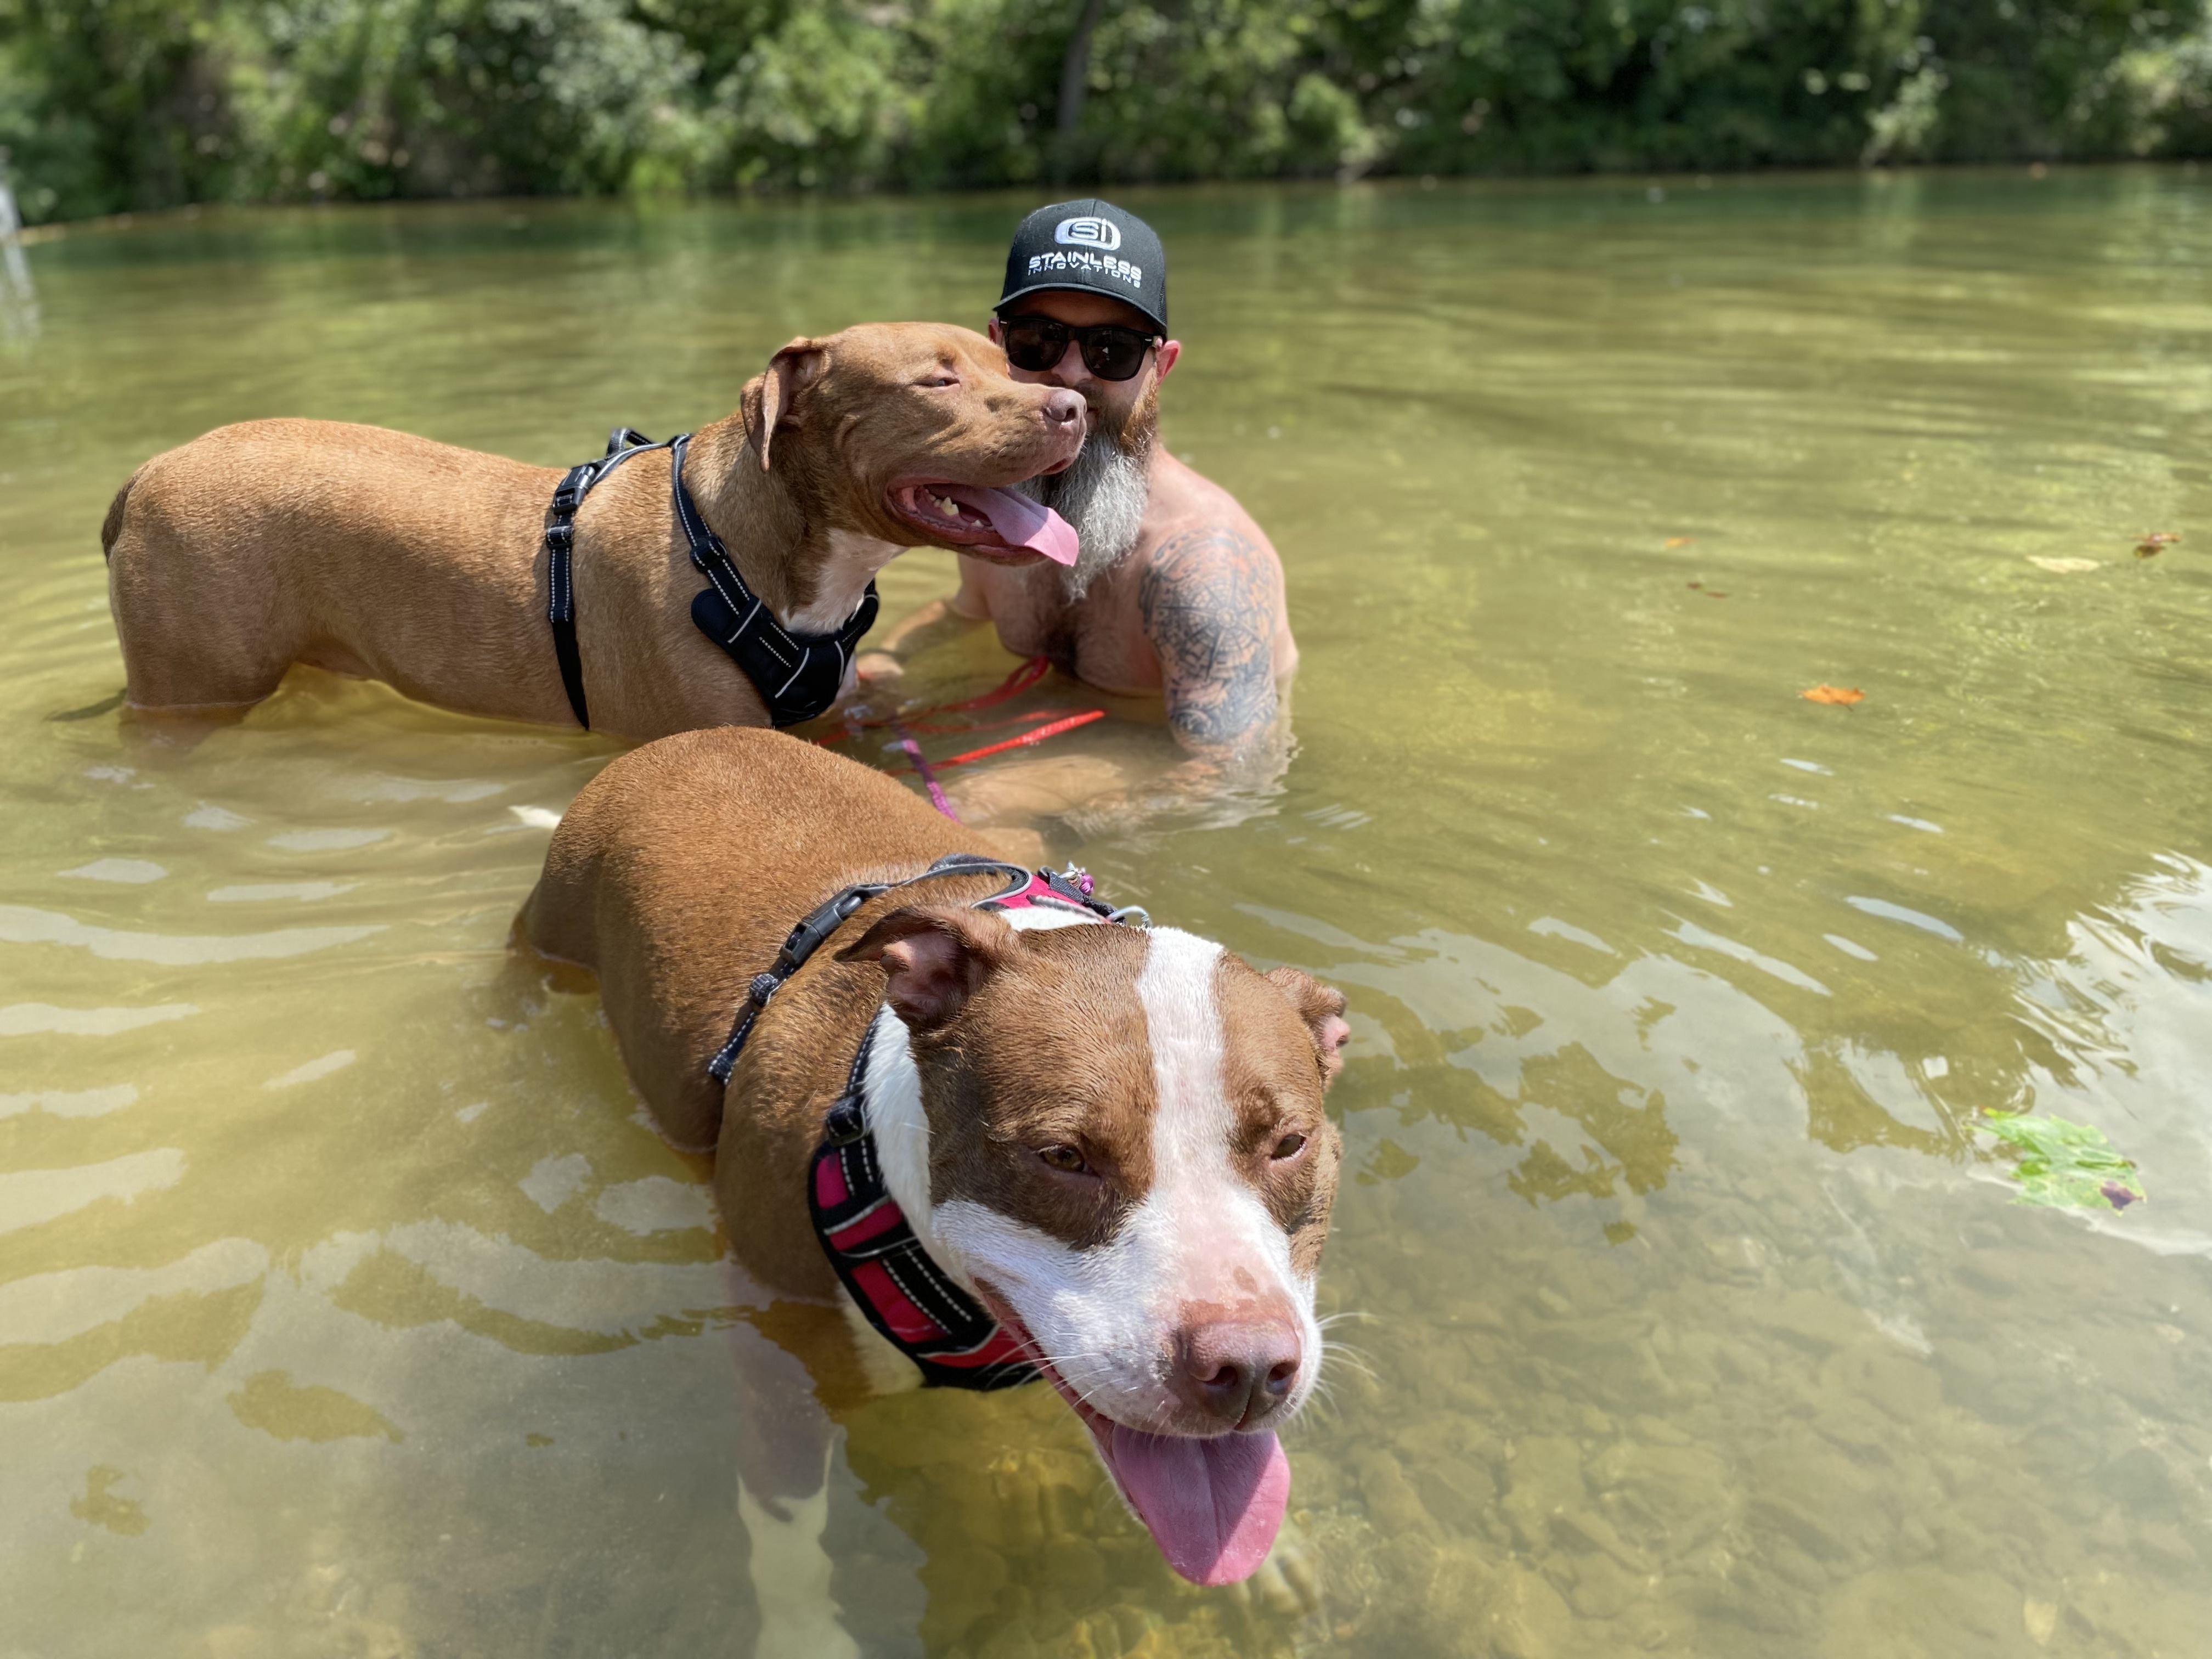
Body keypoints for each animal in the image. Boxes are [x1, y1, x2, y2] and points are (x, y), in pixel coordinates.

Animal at [517, 738, 1345, 1637]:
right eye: (1063, 1157)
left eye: (1290, 1144)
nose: (1248, 1369)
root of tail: (669, 743)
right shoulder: (780, 1377)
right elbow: (786, 1543)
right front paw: (807, 1638)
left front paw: (1283, 1549)